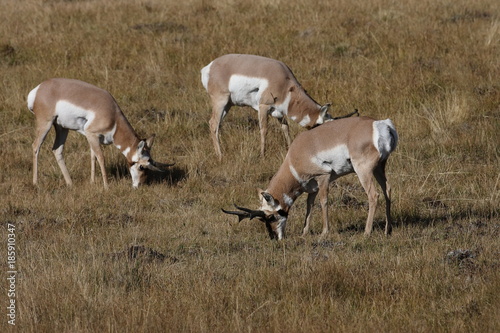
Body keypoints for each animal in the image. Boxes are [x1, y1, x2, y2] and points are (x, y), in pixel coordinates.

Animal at [27, 77, 173, 187]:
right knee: (35, 146)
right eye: (142, 167)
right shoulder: (91, 134)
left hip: (62, 128)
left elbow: (93, 156)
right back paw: (35, 183)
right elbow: (101, 158)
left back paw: (70, 183)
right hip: (46, 124)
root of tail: (39, 89)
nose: (139, 185)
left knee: (57, 150)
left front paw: (92, 182)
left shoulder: (93, 138)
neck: (113, 115)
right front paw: (106, 186)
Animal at [201, 53, 334, 160]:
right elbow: (264, 130)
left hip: (227, 105)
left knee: (215, 124)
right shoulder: (263, 107)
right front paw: (262, 155)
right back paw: (220, 156)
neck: (285, 83)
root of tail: (209, 67)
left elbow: (285, 128)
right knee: (214, 124)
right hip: (221, 102)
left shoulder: (279, 112)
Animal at [223, 115, 398, 237]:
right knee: (388, 190)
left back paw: (367, 232)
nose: (273, 237)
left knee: (373, 195)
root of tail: (381, 124)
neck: (295, 156)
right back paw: (387, 230)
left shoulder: (324, 177)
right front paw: (304, 232)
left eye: (271, 217)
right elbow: (310, 205)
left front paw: (324, 232)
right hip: (379, 168)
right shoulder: (312, 187)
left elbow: (323, 202)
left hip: (363, 171)